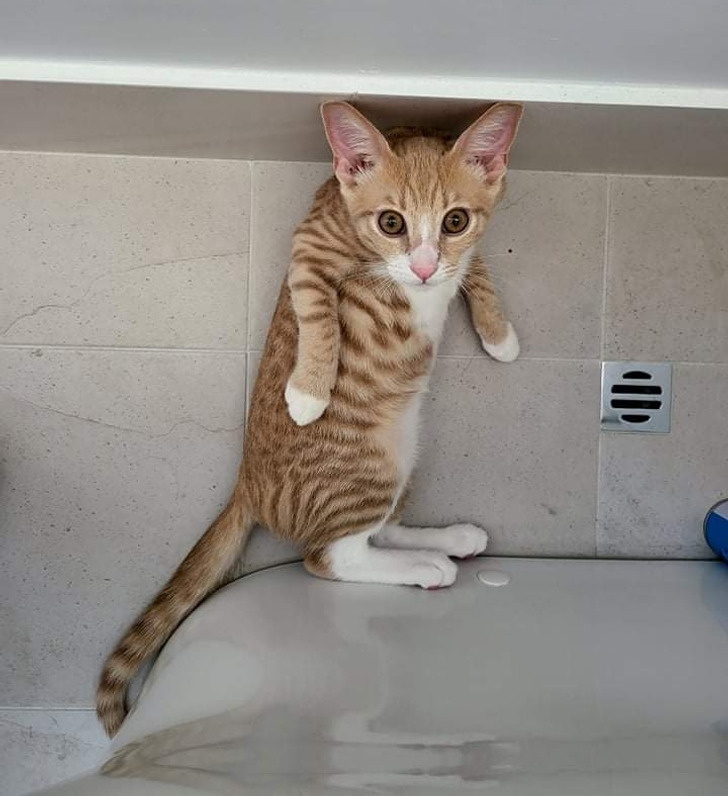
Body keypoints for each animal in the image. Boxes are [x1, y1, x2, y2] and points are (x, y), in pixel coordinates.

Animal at [97, 100, 523, 736]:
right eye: (391, 223)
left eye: (454, 221)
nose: (424, 270)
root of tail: (246, 481)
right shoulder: (308, 248)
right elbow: (319, 312)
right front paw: (307, 391)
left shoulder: (459, 254)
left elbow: (477, 267)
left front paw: (499, 334)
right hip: (368, 464)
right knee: (329, 557)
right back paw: (426, 565)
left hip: (402, 451)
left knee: (378, 526)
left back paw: (448, 538)